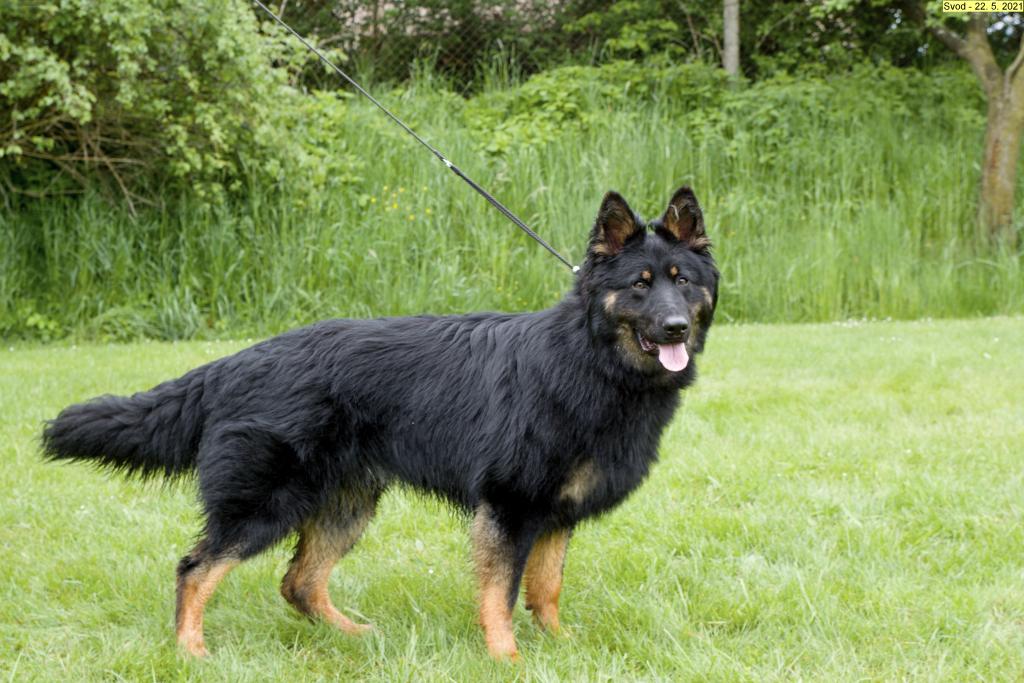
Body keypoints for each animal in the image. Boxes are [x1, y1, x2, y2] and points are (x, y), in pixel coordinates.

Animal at [42, 186, 719, 660]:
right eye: (640, 285)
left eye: (682, 282)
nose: (674, 329)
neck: (589, 358)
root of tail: (232, 362)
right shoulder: (509, 507)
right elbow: (500, 593)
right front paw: (507, 657)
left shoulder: (555, 514)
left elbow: (545, 589)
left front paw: (560, 646)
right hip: (266, 505)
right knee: (196, 569)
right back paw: (191, 650)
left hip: (345, 505)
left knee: (298, 582)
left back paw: (350, 637)